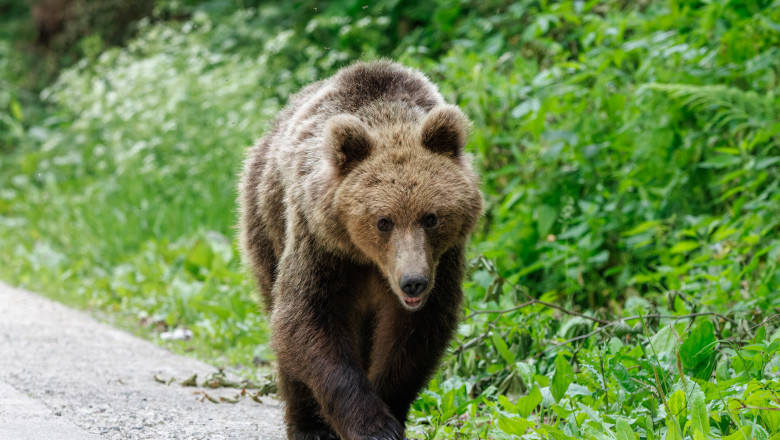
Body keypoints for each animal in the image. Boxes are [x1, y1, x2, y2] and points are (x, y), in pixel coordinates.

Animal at [238, 59, 482, 440]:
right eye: (383, 221)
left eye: (431, 218)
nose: (413, 281)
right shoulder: (322, 246)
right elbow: (306, 318)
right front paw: (373, 425)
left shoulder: (442, 262)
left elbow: (414, 336)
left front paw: (389, 410)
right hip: (265, 225)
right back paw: (307, 424)